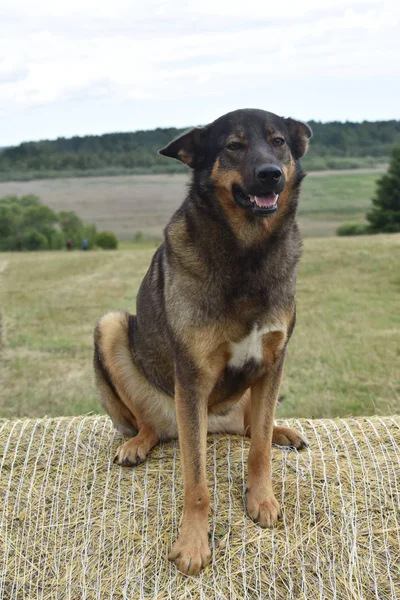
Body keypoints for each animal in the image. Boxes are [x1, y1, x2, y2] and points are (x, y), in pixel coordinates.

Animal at [94, 109, 312, 576]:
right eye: (233, 145)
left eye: (279, 142)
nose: (270, 175)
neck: (248, 252)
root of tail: (217, 424)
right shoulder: (192, 379)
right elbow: (196, 481)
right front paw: (193, 543)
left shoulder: (273, 362)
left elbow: (259, 449)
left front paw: (261, 500)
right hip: (112, 328)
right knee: (151, 426)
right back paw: (136, 445)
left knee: (251, 428)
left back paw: (284, 432)